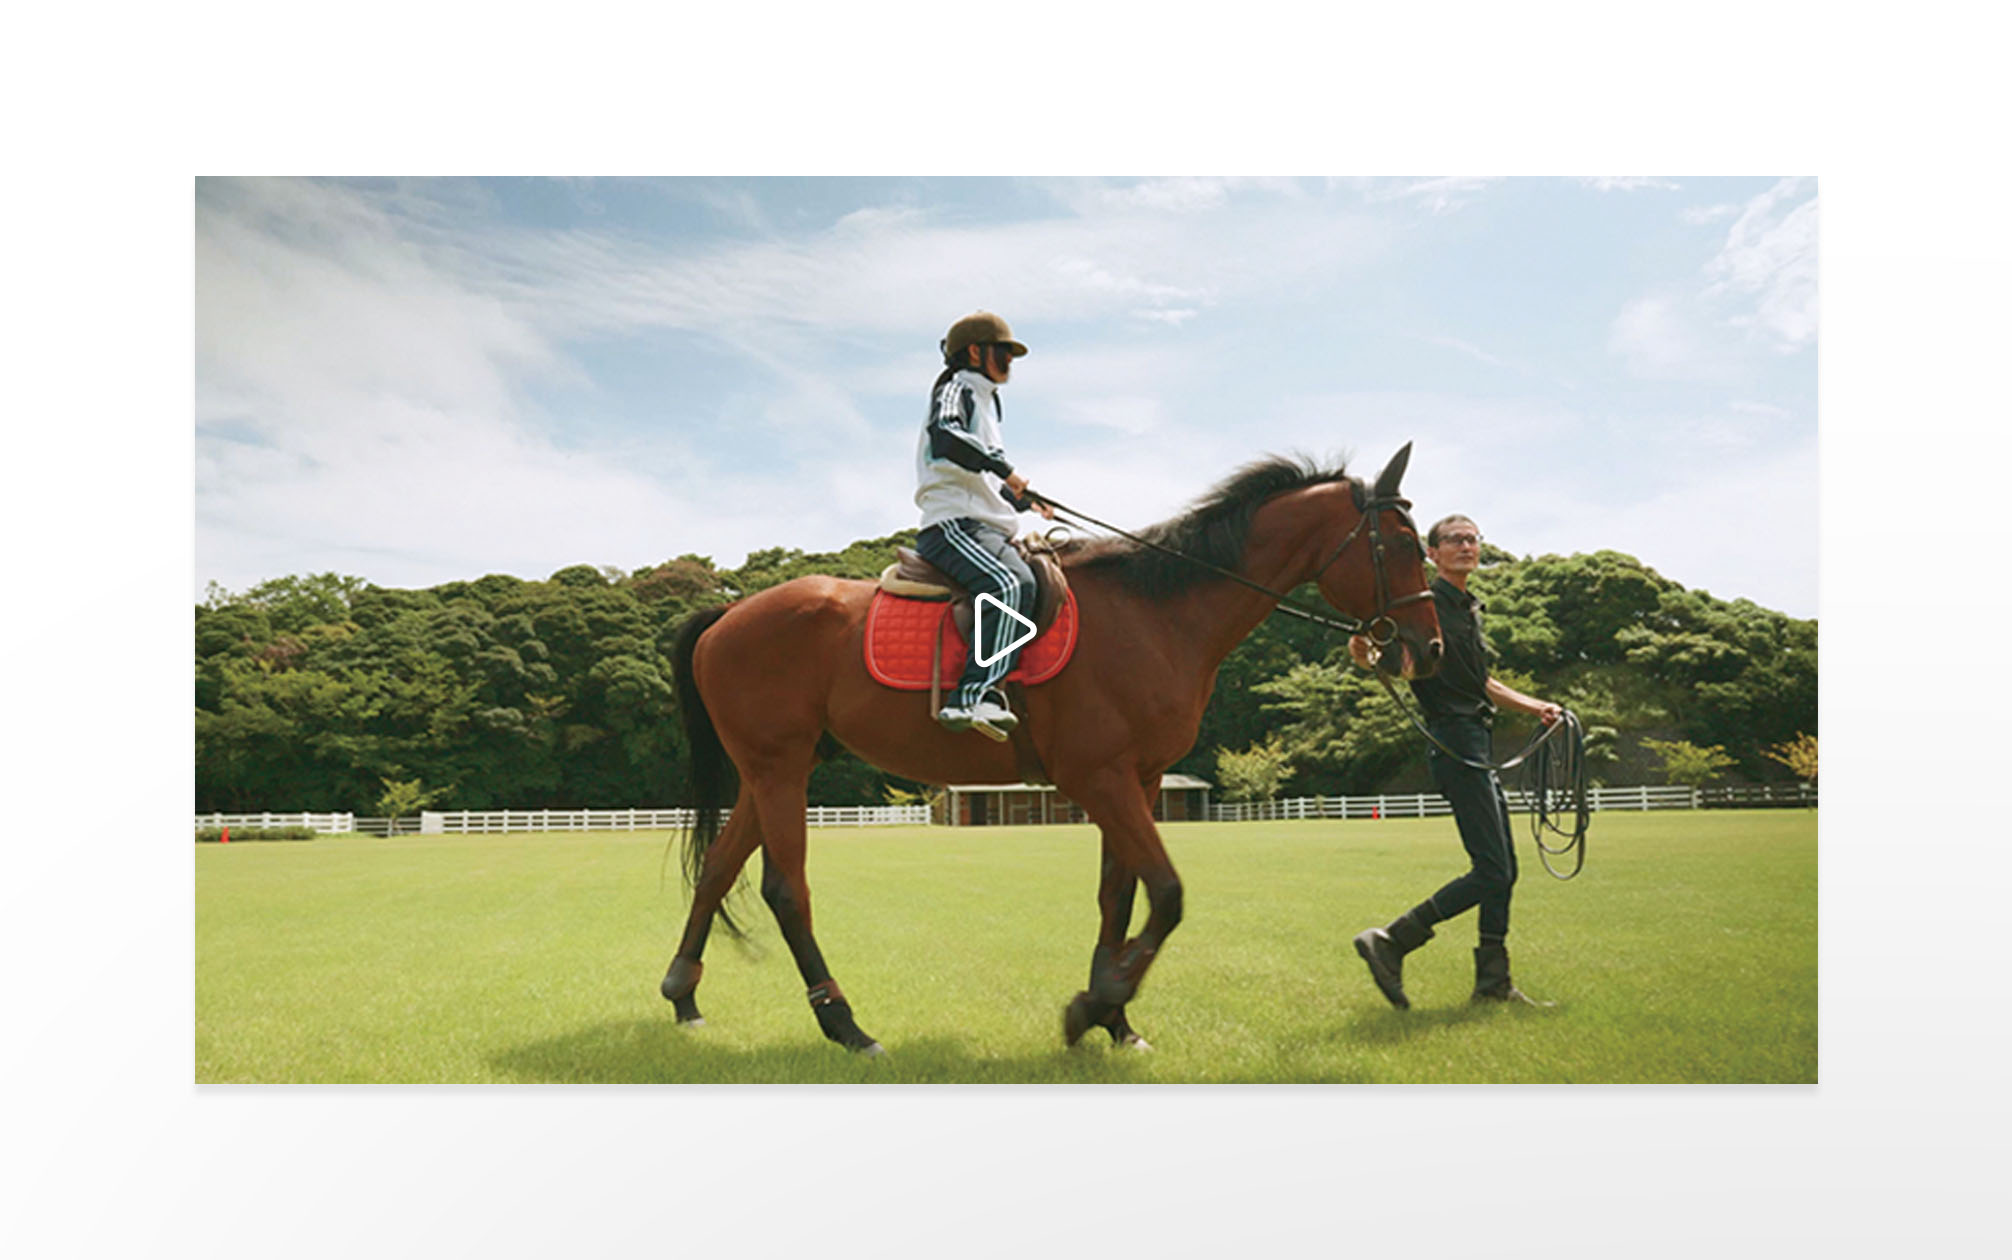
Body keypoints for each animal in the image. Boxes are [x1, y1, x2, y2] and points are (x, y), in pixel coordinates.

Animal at [667, 440, 1440, 1046]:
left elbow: (1118, 896)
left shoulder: (1139, 780)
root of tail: (730, 612)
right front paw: (1097, 1004)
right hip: (780, 770)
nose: (1428, 648)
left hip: (772, 771)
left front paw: (1114, 1018)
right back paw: (845, 1024)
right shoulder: (1100, 778)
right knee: (785, 889)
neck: (1155, 613)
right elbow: (1167, 894)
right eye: (1403, 546)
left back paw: (684, 995)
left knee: (718, 871)